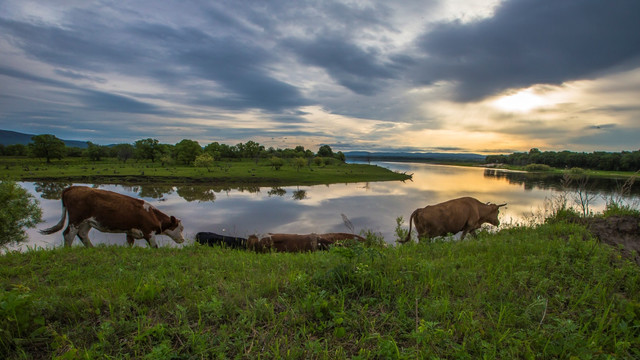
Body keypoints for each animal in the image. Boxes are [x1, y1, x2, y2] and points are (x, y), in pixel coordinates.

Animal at [39, 186, 185, 248]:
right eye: (181, 228)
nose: (183, 239)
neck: (152, 214)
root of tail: (71, 188)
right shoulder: (148, 232)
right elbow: (154, 247)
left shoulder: (130, 231)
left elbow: (129, 244)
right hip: (76, 219)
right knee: (68, 234)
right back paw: (68, 250)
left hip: (87, 222)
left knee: (82, 234)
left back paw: (92, 249)